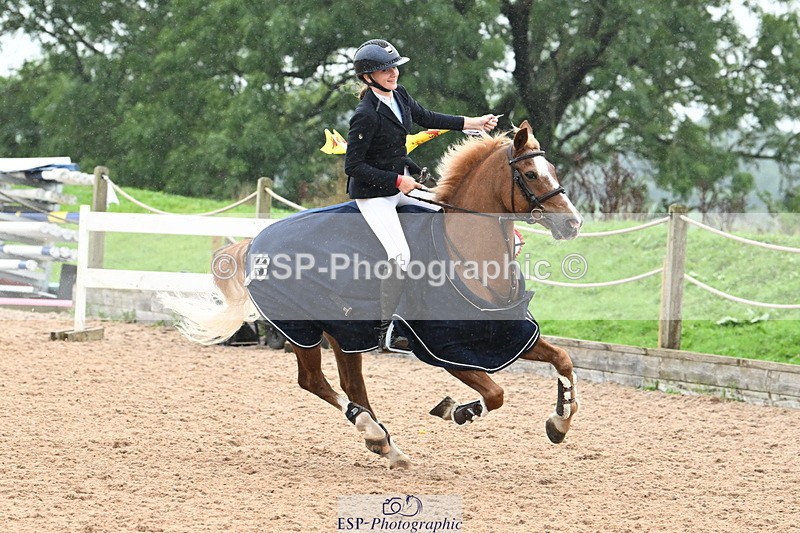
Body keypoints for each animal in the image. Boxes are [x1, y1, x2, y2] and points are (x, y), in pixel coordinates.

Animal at [161, 121, 583, 469]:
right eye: (530, 173)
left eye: (554, 171)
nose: (573, 223)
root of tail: (256, 242)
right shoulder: (446, 350)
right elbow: (496, 393)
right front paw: (457, 410)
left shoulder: (509, 335)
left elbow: (562, 359)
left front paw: (559, 423)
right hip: (301, 328)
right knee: (312, 381)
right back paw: (373, 432)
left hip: (344, 331)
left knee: (351, 385)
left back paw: (386, 446)